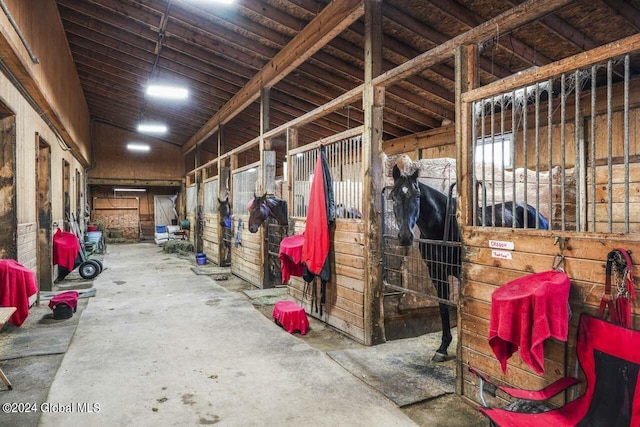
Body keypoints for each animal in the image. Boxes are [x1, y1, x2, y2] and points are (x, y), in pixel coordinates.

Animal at [390, 166, 552, 362]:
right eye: (392, 196)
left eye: (418, 195)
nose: (405, 236)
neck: (443, 225)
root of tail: (536, 213)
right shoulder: (436, 272)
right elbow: (443, 306)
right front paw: (442, 348)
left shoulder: (462, 273)